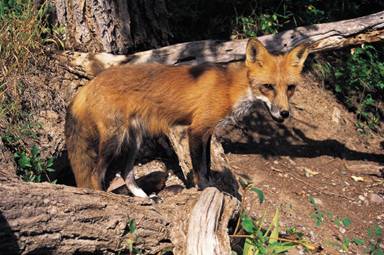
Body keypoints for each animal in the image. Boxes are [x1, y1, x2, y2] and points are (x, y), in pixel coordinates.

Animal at [63, 38, 308, 197]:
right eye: (268, 87)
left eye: (290, 88)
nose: (284, 113)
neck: (231, 90)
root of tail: (90, 83)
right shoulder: (196, 130)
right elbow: (199, 169)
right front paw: (204, 191)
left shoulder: (208, 132)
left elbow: (207, 166)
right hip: (115, 140)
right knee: (96, 175)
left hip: (134, 141)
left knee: (126, 173)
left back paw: (145, 198)